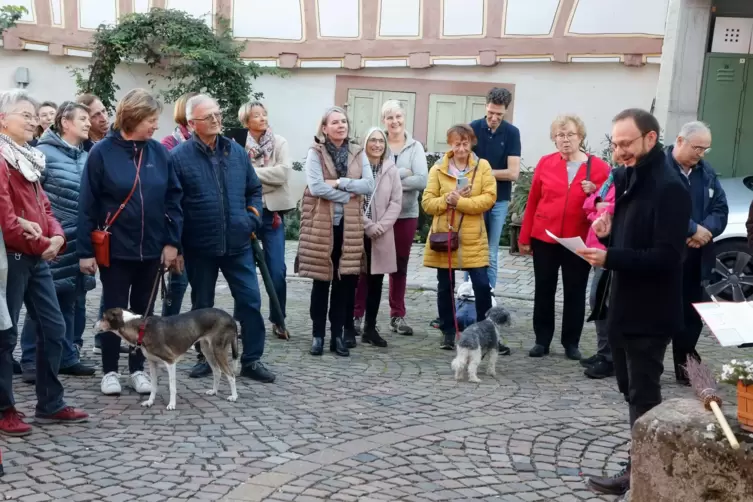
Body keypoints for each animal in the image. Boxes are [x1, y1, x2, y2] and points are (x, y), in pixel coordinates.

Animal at [97, 308, 238, 410]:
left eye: (103, 317)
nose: (94, 324)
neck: (141, 329)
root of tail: (230, 317)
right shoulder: (152, 363)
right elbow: (153, 386)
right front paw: (149, 402)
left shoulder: (170, 362)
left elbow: (172, 387)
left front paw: (172, 405)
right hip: (207, 349)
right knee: (217, 371)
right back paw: (214, 391)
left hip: (218, 350)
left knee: (230, 374)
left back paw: (234, 396)